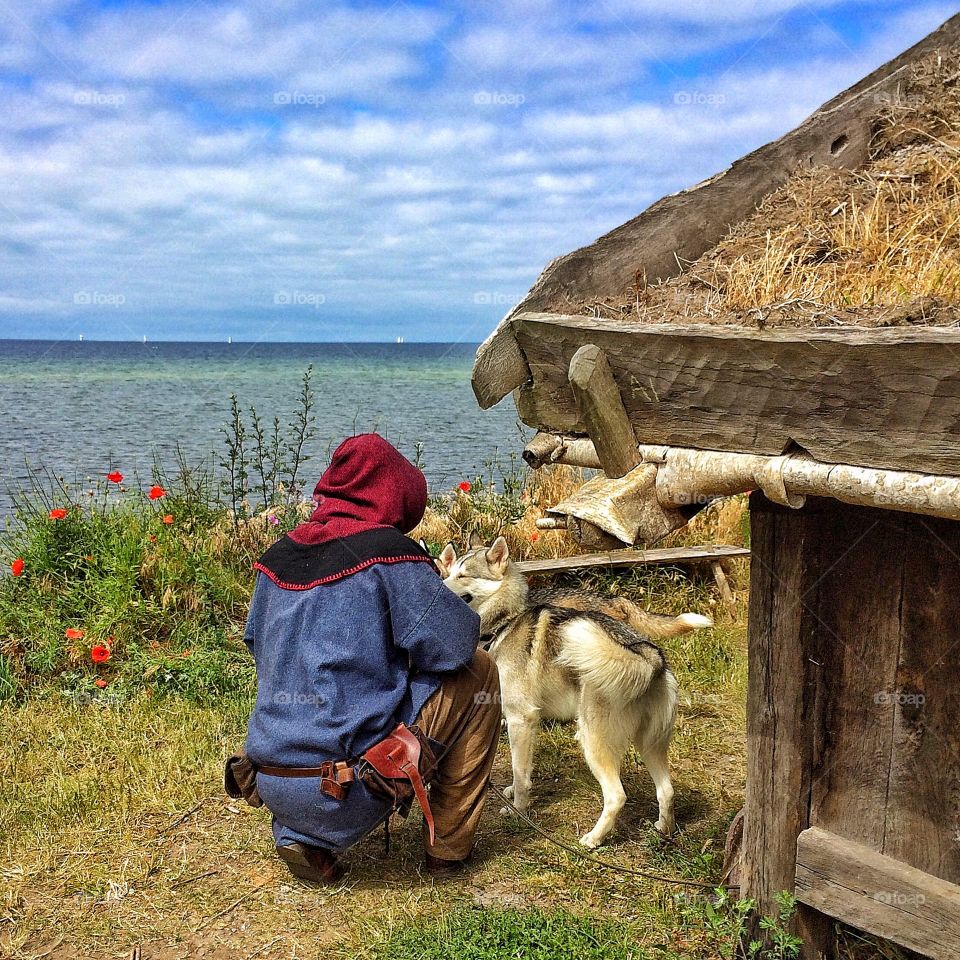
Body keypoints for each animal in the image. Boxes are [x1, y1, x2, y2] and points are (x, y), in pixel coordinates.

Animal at [438, 540, 708, 848]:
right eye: (448, 572)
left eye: (463, 575)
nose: (436, 586)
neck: (506, 621)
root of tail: (648, 656)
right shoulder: (527, 723)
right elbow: (523, 771)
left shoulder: (521, 720)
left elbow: (520, 774)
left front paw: (519, 810)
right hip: (650, 745)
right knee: (666, 791)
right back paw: (664, 830)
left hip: (594, 743)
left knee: (617, 796)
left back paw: (594, 839)